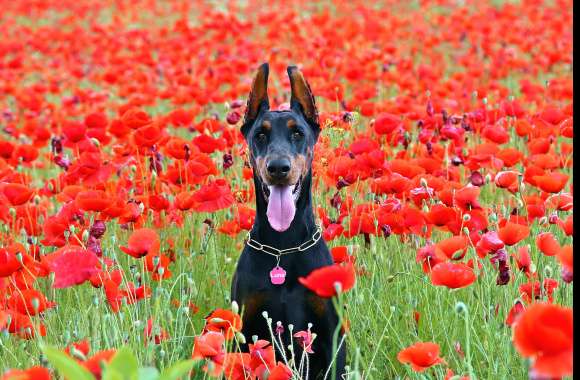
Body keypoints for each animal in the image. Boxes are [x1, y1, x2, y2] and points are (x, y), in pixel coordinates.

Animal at [233, 63, 346, 378]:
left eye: (298, 133)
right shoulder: (244, 331)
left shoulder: (332, 335)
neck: (283, 247)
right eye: (260, 135)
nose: (278, 168)